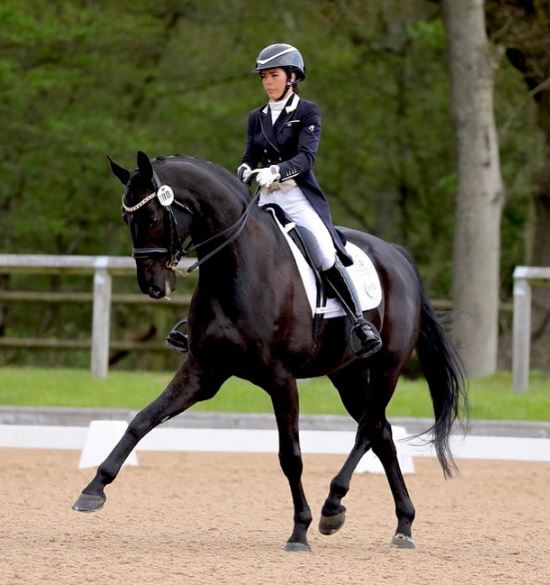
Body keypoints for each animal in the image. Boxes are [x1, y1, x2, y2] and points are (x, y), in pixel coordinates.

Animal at [73, 152, 470, 552]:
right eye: (127, 218)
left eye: (153, 218)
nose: (152, 286)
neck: (236, 268)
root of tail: (397, 256)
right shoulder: (203, 371)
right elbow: (143, 419)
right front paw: (93, 489)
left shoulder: (281, 378)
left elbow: (290, 456)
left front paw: (300, 530)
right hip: (348, 375)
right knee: (382, 434)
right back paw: (401, 524)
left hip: (386, 368)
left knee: (370, 429)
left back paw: (334, 506)